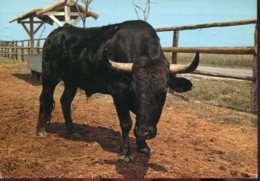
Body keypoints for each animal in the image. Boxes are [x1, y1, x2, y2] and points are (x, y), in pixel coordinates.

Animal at [36, 19, 199, 161]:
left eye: (163, 91)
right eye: (134, 89)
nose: (145, 131)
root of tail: (56, 33)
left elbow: (139, 119)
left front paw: (143, 145)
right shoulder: (119, 93)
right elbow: (126, 123)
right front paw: (125, 152)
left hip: (72, 80)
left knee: (65, 101)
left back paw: (72, 130)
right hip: (50, 76)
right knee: (44, 98)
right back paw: (41, 130)